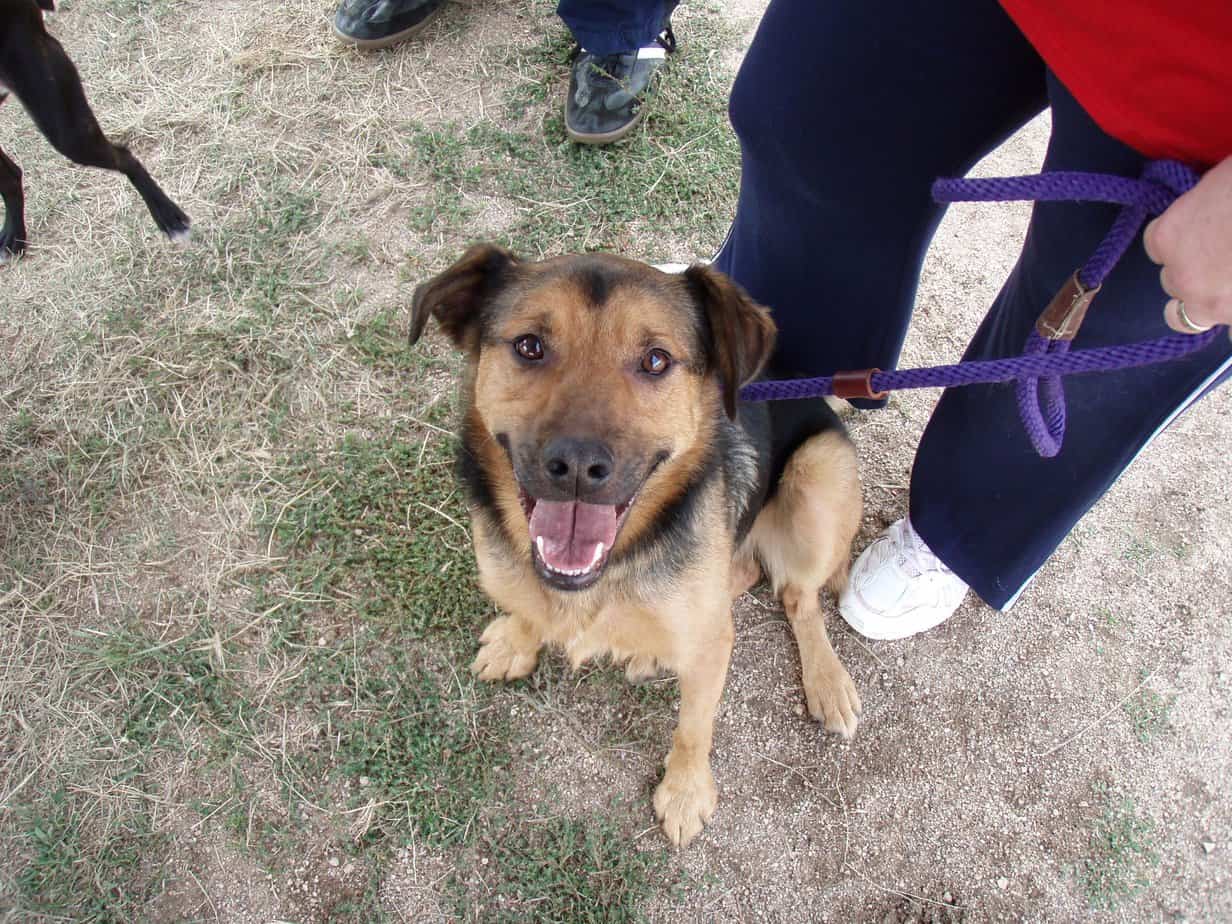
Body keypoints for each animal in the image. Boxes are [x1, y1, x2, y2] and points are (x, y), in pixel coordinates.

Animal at [409, 243, 862, 847]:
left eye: (656, 360)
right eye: (529, 346)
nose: (577, 466)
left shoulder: (711, 644)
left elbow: (694, 727)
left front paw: (685, 793)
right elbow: (526, 607)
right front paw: (516, 640)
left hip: (819, 474)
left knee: (797, 595)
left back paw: (827, 682)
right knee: (747, 572)